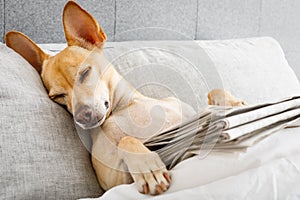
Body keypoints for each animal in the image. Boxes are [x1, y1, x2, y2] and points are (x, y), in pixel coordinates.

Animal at [4, 0, 246, 195]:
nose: (82, 116)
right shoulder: (114, 181)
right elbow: (127, 140)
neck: (126, 107)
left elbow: (214, 91)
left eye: (84, 72)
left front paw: (235, 104)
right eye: (57, 96)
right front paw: (148, 168)